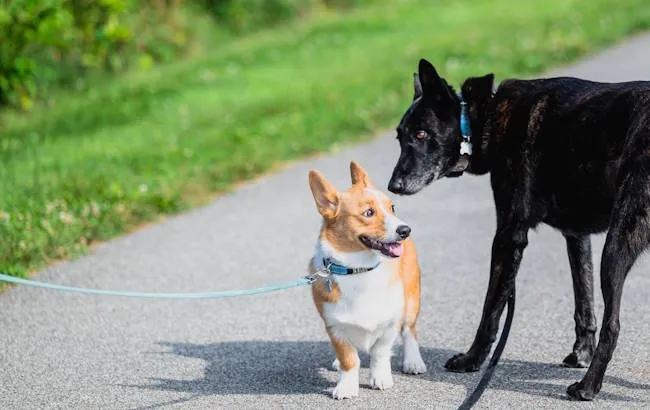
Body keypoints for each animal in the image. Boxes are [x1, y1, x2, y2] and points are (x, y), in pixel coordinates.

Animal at [384, 58, 648, 400]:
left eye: (420, 134)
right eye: (400, 137)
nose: (394, 186)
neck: (489, 115)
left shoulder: (508, 237)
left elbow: (491, 309)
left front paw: (472, 359)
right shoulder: (576, 236)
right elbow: (583, 299)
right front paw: (581, 351)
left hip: (616, 247)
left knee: (613, 325)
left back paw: (588, 386)